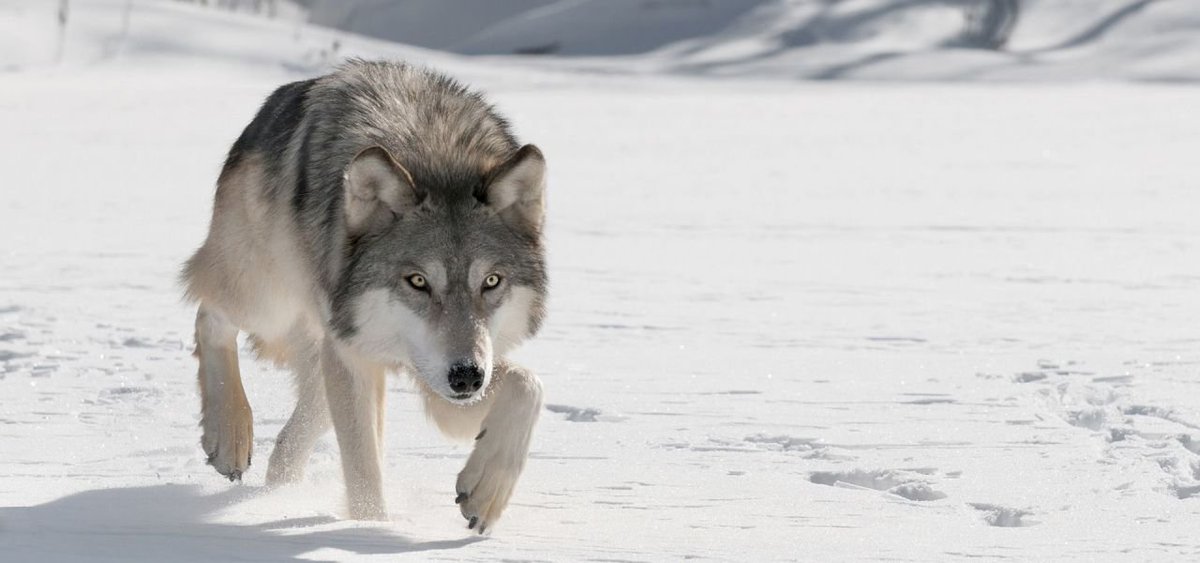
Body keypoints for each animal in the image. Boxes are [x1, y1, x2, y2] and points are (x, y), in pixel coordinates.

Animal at [181, 60, 547, 533]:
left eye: (491, 281)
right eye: (417, 281)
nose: (466, 377)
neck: (436, 154)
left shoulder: (441, 380)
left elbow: (528, 385)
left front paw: (486, 492)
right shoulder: (360, 357)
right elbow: (363, 470)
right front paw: (370, 529)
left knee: (300, 426)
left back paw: (278, 490)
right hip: (269, 301)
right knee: (209, 314)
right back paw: (229, 437)